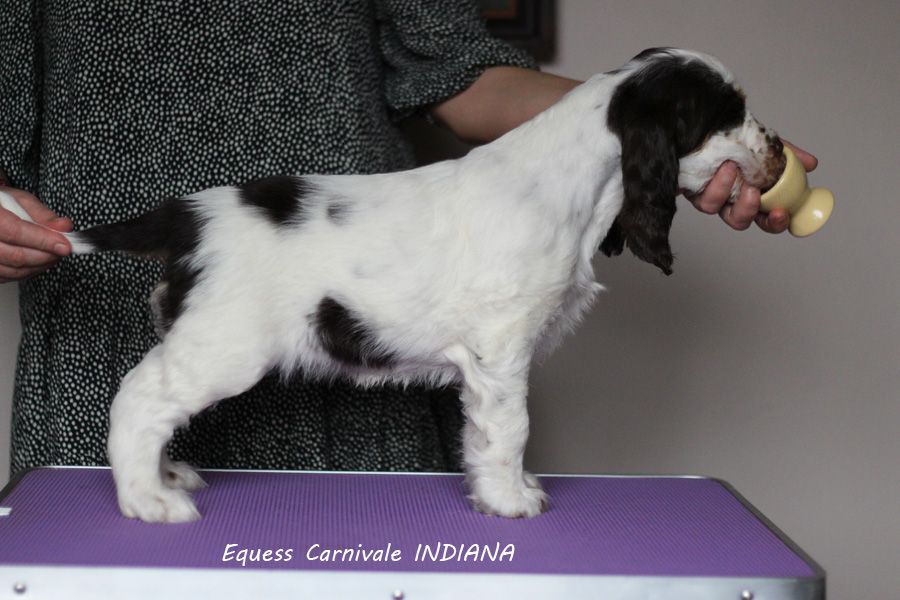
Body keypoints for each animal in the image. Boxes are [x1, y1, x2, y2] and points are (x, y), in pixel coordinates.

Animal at [0, 49, 788, 524]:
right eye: (728, 112)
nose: (778, 148)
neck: (571, 177)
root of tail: (188, 215)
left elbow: (481, 434)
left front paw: (498, 492)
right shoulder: (502, 348)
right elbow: (509, 430)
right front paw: (511, 501)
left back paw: (168, 479)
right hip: (224, 346)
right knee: (138, 399)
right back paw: (147, 502)